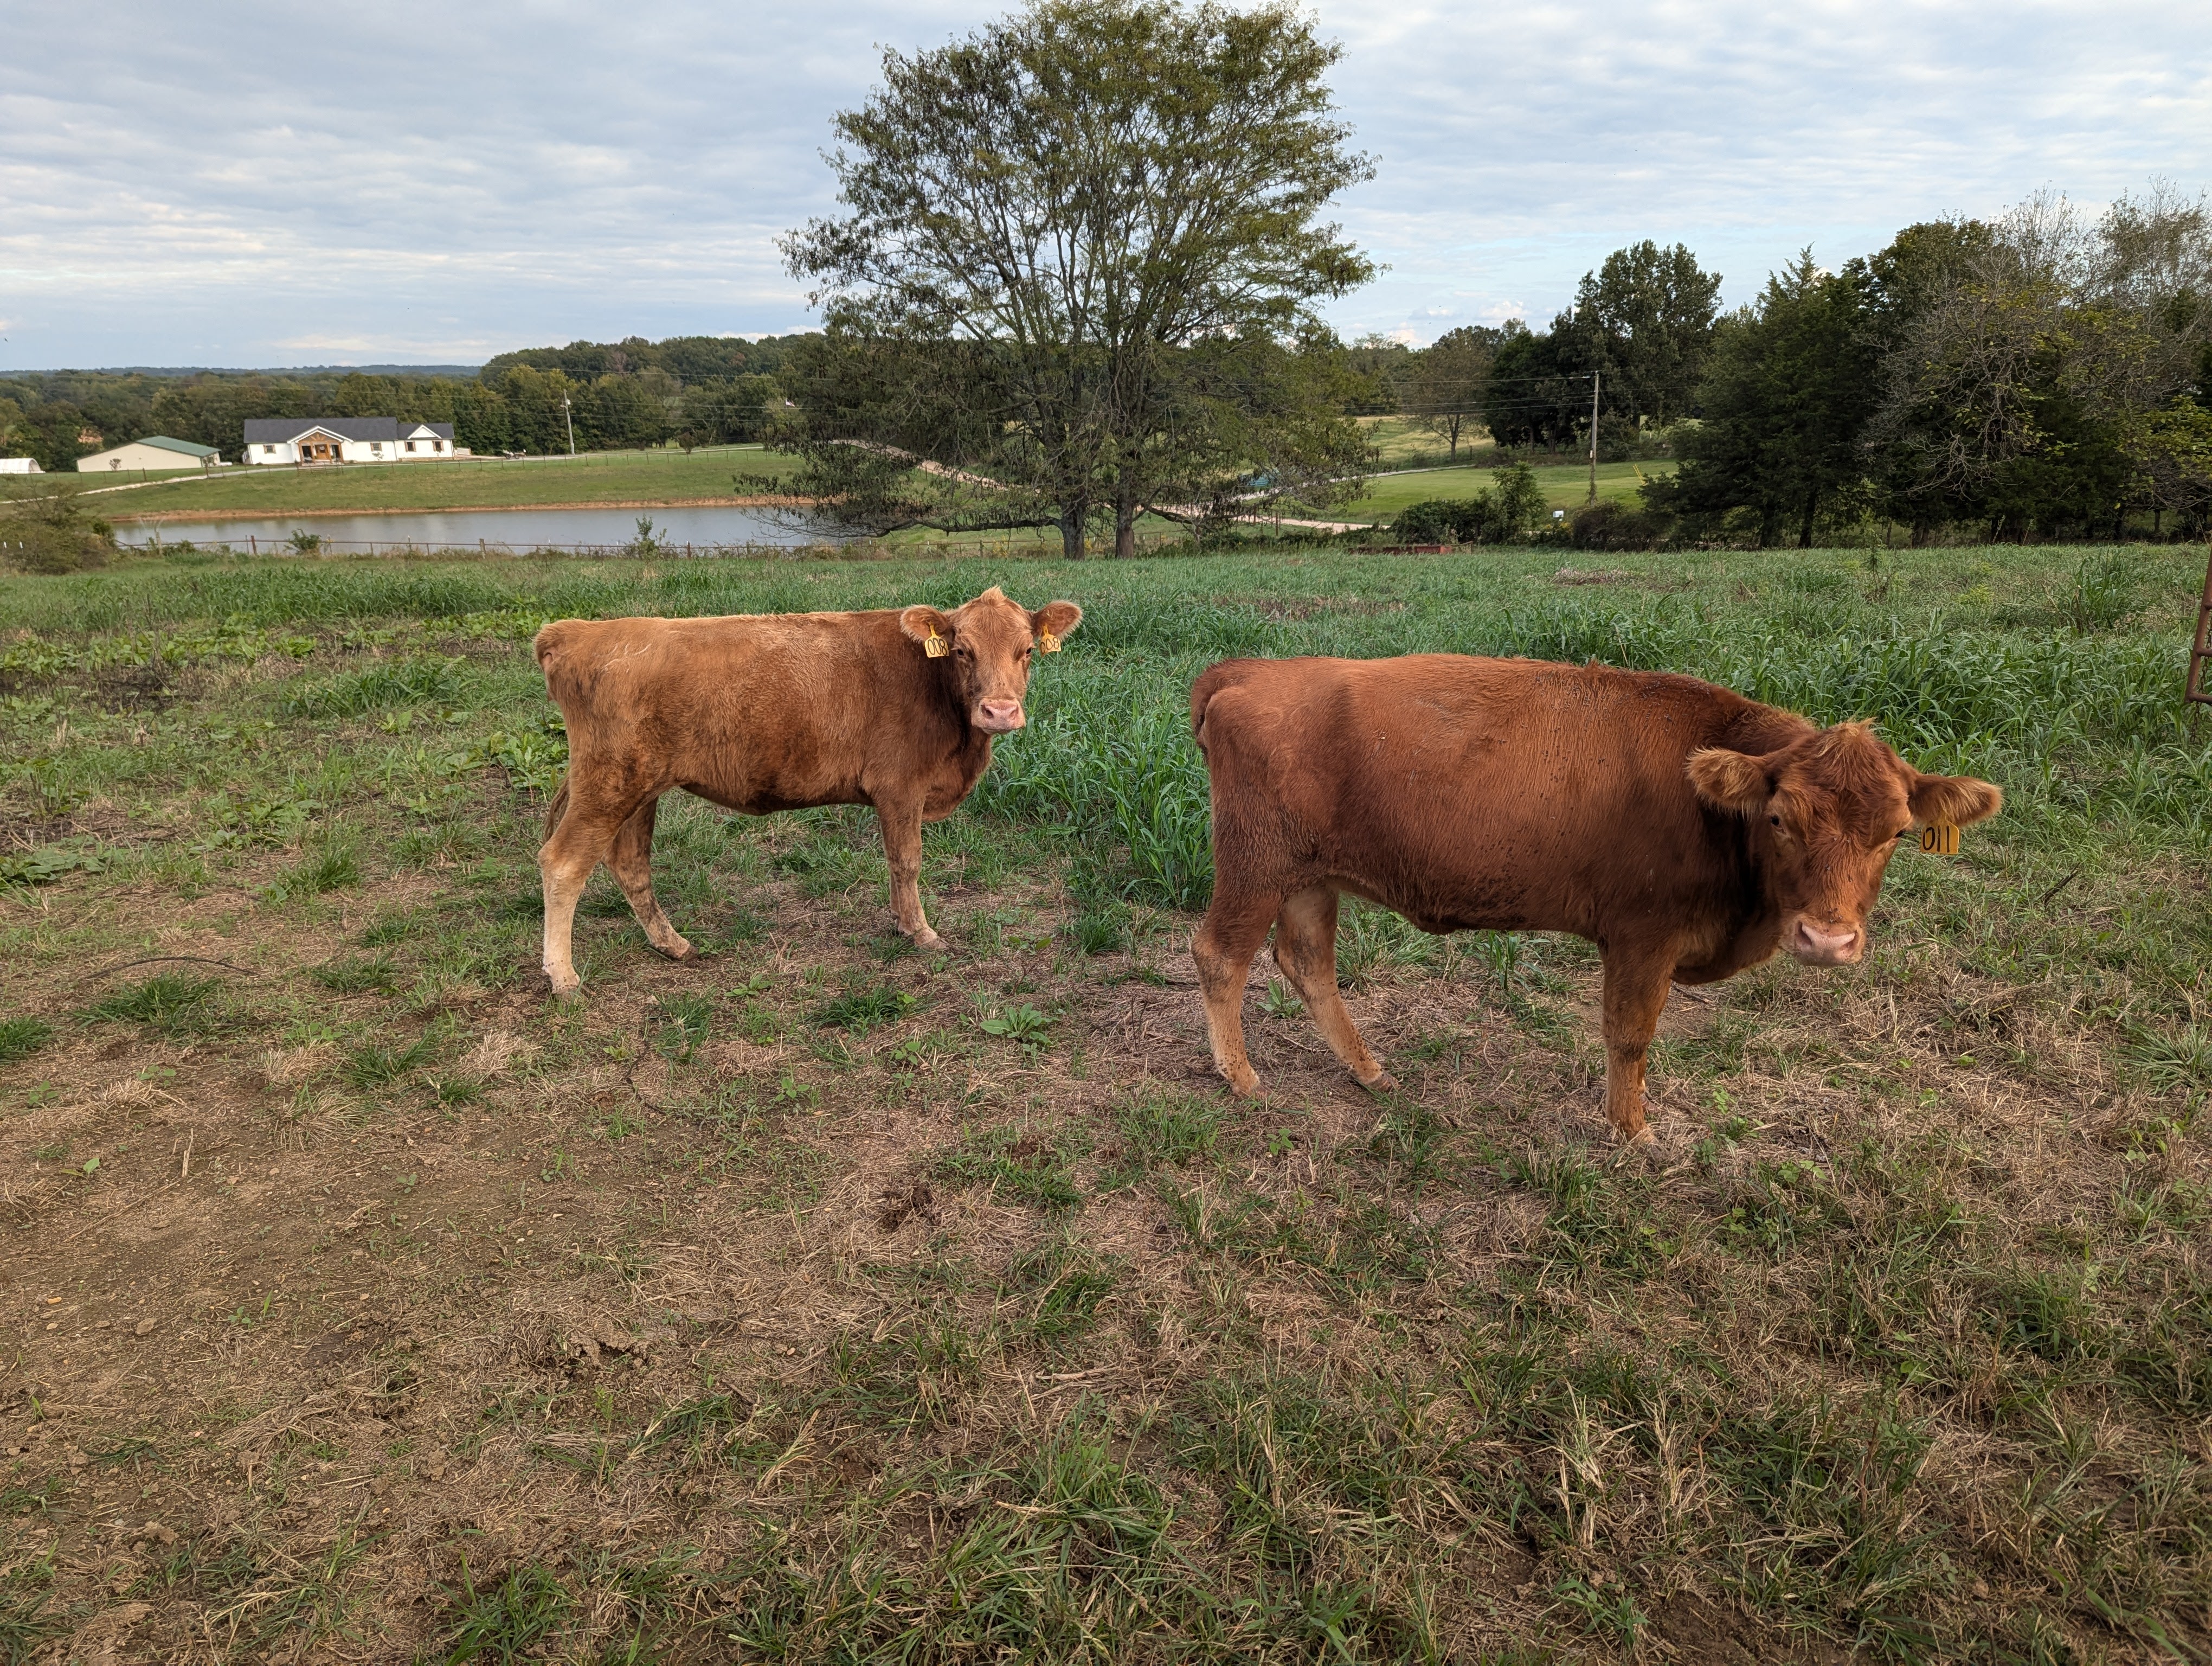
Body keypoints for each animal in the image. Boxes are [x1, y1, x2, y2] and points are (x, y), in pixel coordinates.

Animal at [532, 585, 1083, 995]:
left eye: (1027, 651)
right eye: (963, 651)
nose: (1000, 711)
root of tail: (579, 631)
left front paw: (902, 923)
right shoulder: (901, 788)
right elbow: (906, 861)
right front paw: (921, 932)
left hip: (640, 789)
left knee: (629, 863)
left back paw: (674, 945)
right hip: (607, 785)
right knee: (563, 863)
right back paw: (564, 977)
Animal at [1188, 654, 2001, 1141]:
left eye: (1896, 834)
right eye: (1779, 819)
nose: (1828, 941)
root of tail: (1251, 670)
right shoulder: (1644, 938)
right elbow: (1630, 1034)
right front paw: (1631, 1129)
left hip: (1308, 880)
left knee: (1308, 964)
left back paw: (1368, 1070)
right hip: (1257, 868)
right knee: (1220, 954)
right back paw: (1242, 1077)